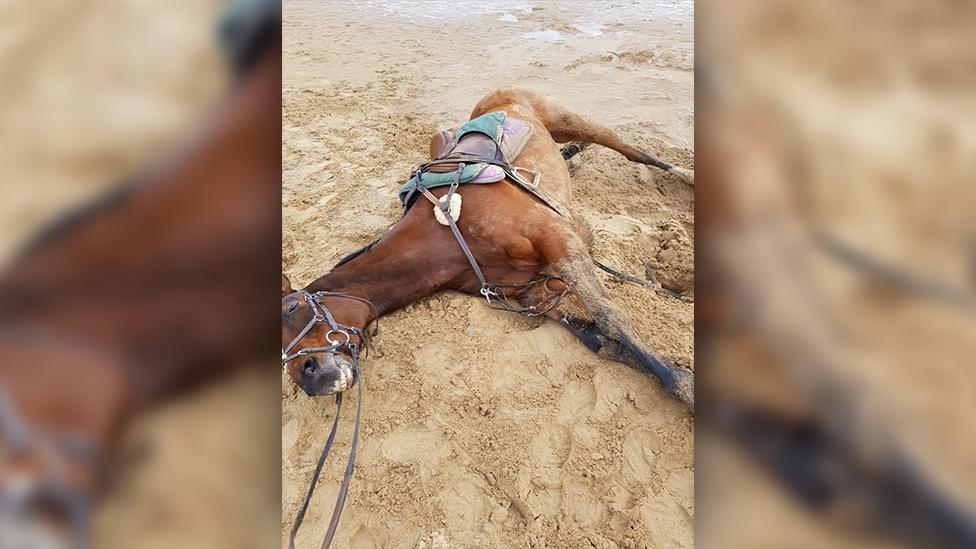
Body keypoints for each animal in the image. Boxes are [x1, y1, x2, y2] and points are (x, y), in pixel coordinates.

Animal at [280, 88, 692, 408]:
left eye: (291, 308)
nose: (309, 378)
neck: (446, 236)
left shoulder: (559, 241)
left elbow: (611, 319)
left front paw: (686, 388)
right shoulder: (536, 294)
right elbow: (606, 344)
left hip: (569, 118)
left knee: (636, 152)